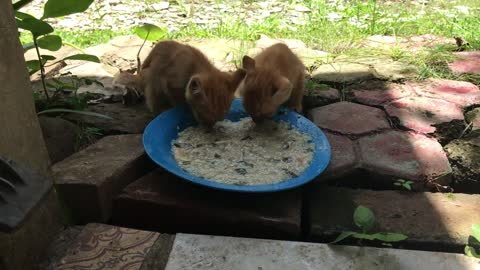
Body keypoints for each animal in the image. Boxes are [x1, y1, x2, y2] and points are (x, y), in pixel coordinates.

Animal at [114, 40, 246, 126]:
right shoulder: (168, 85)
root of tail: (141, 75)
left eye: (218, 119)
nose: (208, 128)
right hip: (154, 87)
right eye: (202, 115)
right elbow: (177, 101)